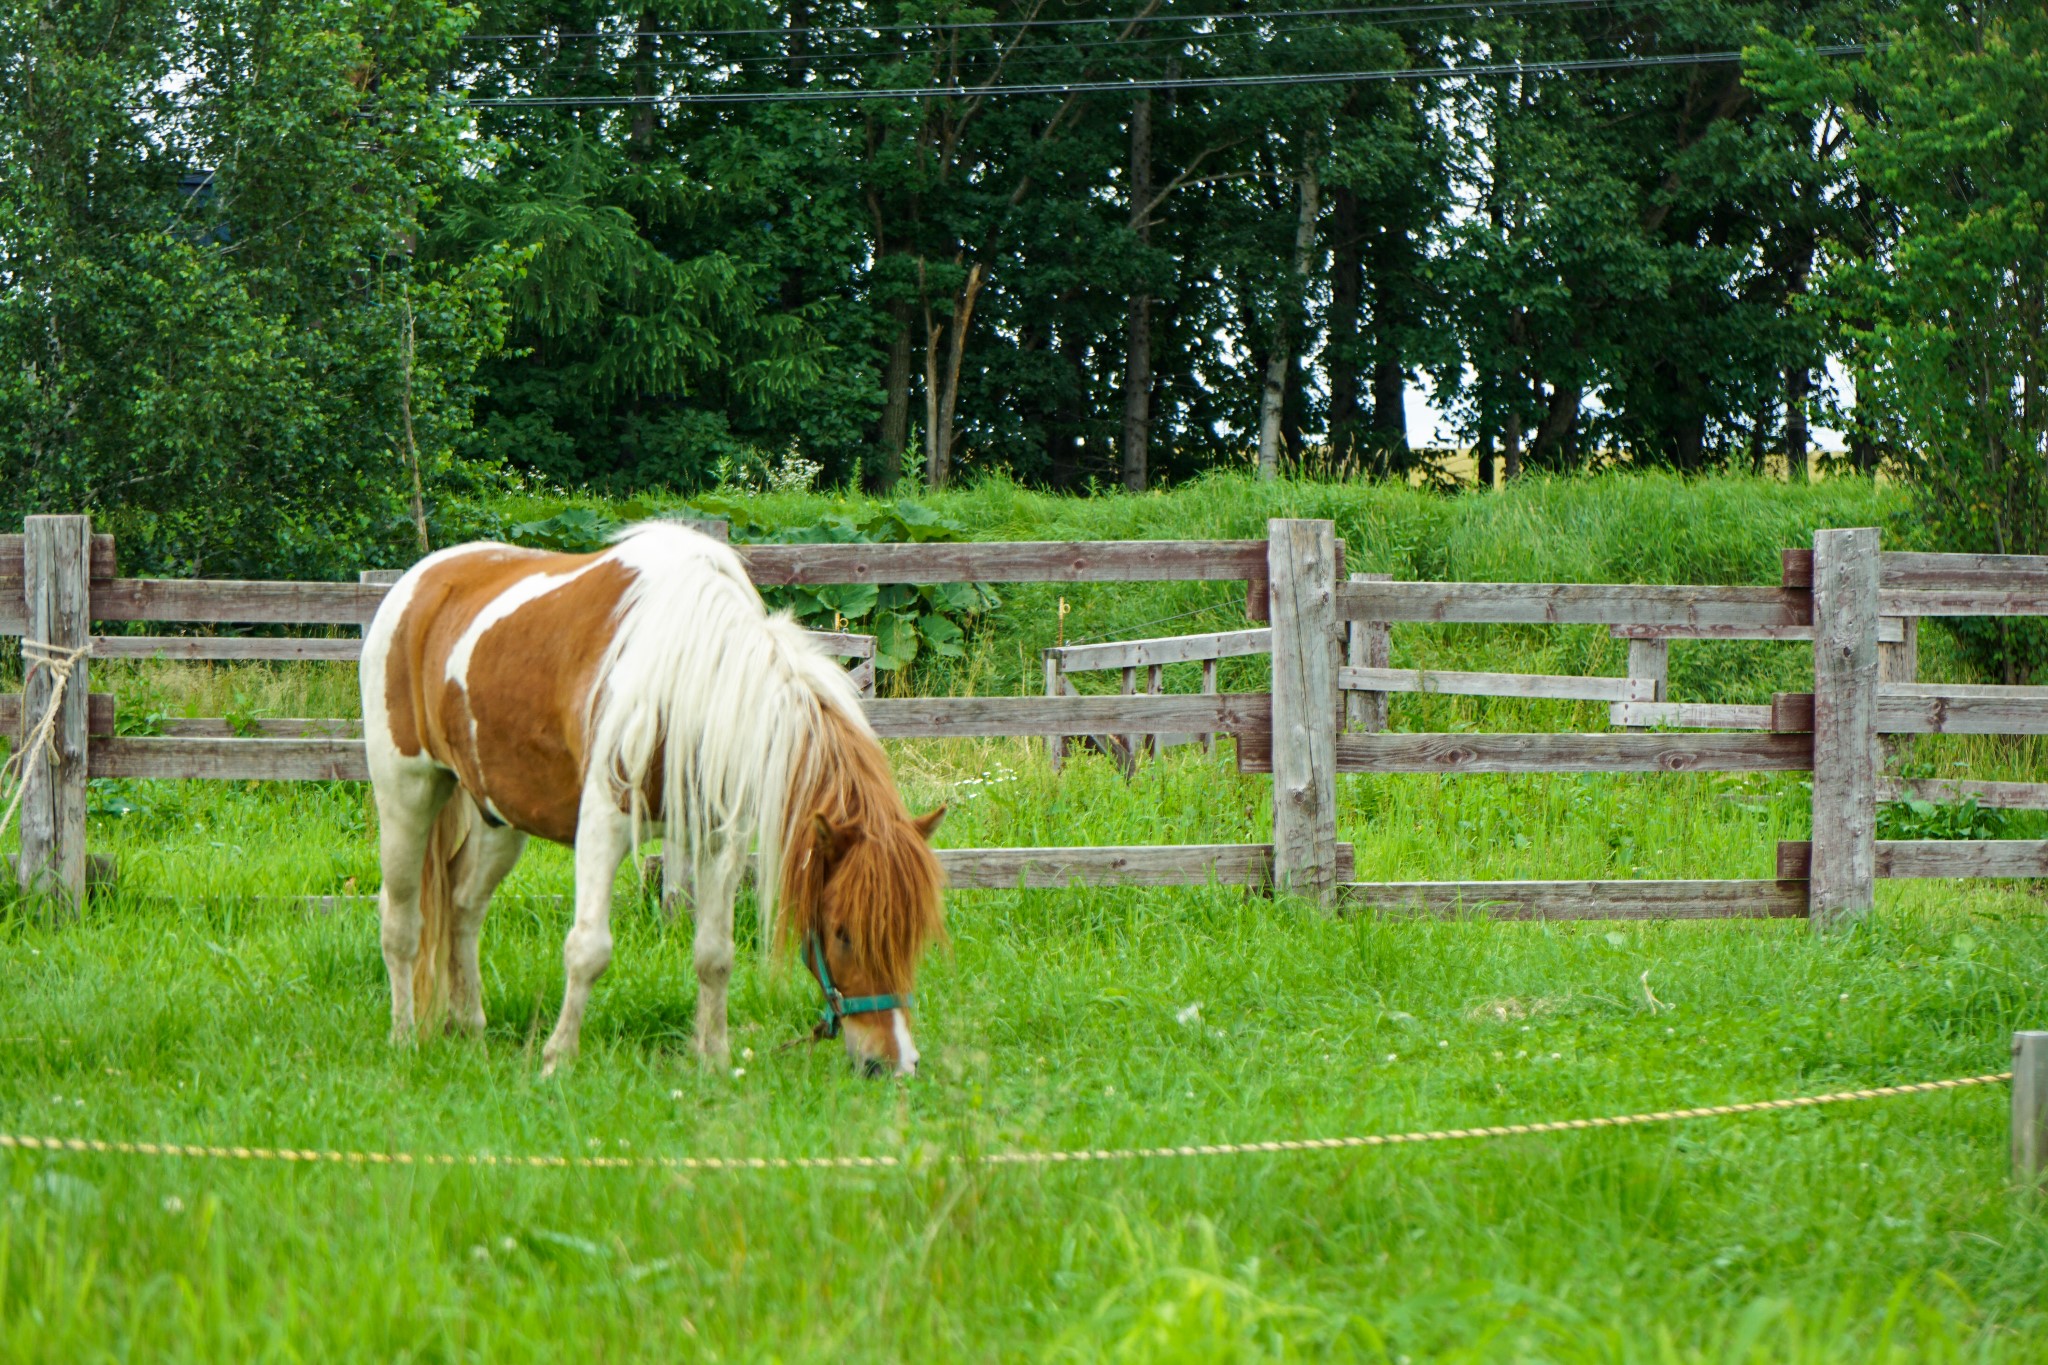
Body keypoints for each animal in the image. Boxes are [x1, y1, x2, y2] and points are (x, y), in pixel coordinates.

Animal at [358, 523, 942, 1080]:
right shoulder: (603, 822)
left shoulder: (718, 839)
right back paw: (404, 1039)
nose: (894, 1063)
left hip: (498, 818)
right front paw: (557, 1060)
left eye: (912, 935)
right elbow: (588, 949)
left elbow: (714, 955)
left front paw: (715, 1060)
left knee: (462, 908)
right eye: (842, 934)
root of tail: (416, 584)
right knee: (402, 920)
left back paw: (469, 1031)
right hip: (406, 794)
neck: (690, 678)